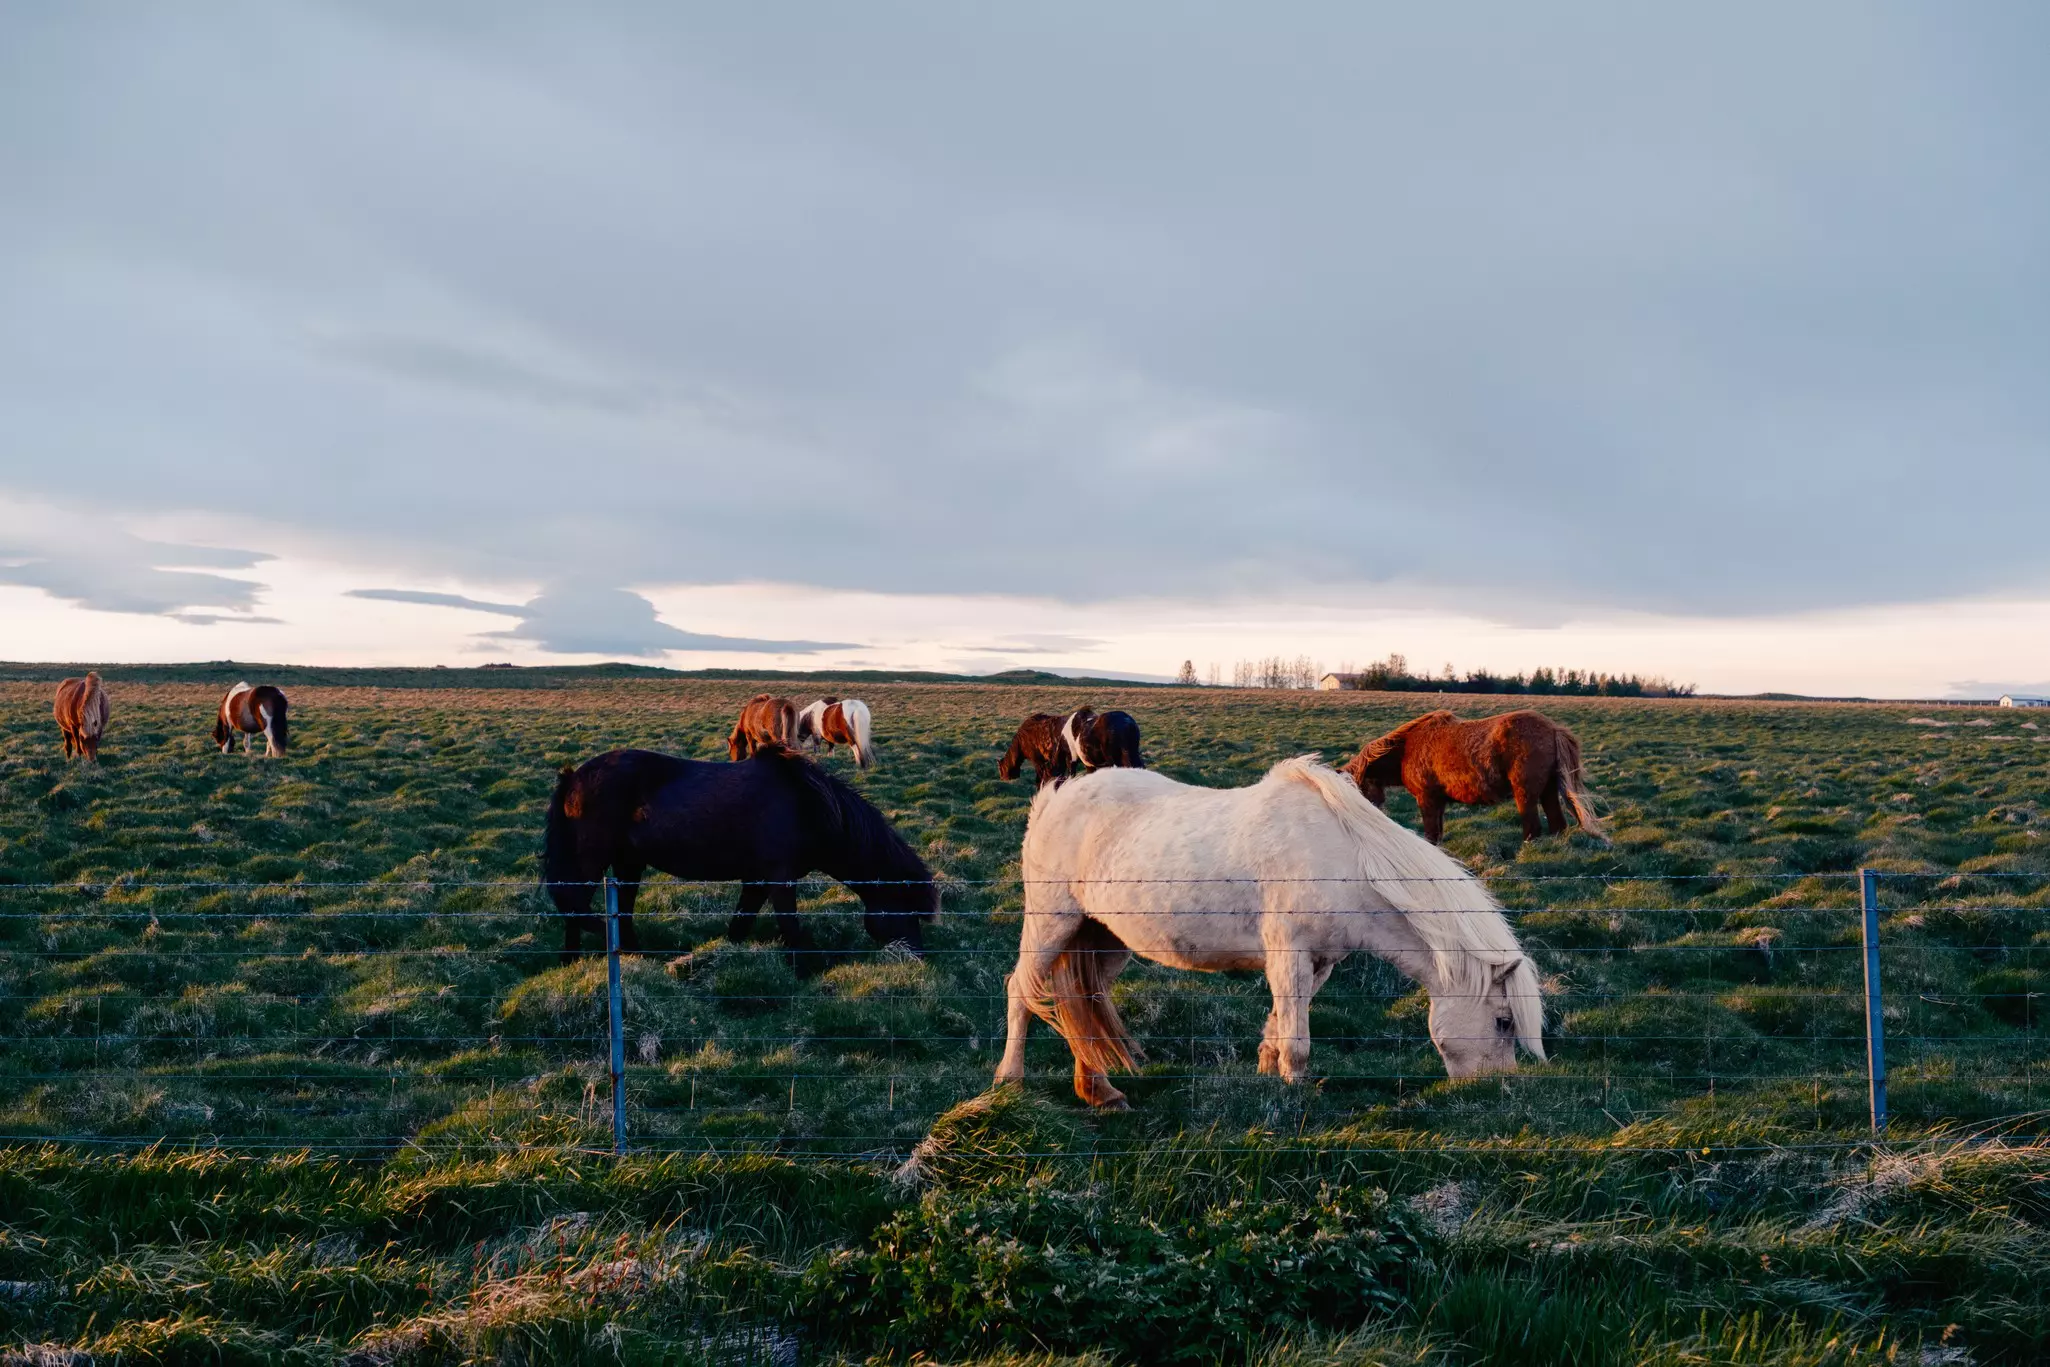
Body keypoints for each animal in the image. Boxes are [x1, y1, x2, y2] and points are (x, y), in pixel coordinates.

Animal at [542, 743, 937, 968]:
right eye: (908, 911)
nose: (919, 960)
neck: (807, 805)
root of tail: (573, 776)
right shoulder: (779, 879)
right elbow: (790, 927)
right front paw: (808, 969)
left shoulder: (758, 880)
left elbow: (740, 925)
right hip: (593, 861)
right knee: (575, 903)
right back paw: (577, 957)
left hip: (629, 862)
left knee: (617, 909)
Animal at [994, 757, 1544, 1109]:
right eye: (1503, 1022)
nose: (1498, 1092)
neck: (1344, 859)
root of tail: (1054, 800)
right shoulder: (1289, 952)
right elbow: (1297, 1039)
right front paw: (1294, 1095)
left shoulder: (1317, 962)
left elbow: (1281, 1022)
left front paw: (1268, 1072)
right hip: (1052, 923)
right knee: (1022, 990)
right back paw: (1010, 1082)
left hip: (1102, 937)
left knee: (1083, 1003)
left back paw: (1101, 1092)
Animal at [1341, 709, 1602, 845]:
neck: (1407, 748)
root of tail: (1553, 728)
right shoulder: (1438, 801)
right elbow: (1437, 831)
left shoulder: (1427, 799)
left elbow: (1430, 832)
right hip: (1547, 791)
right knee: (1557, 824)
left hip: (1525, 793)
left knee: (1533, 827)